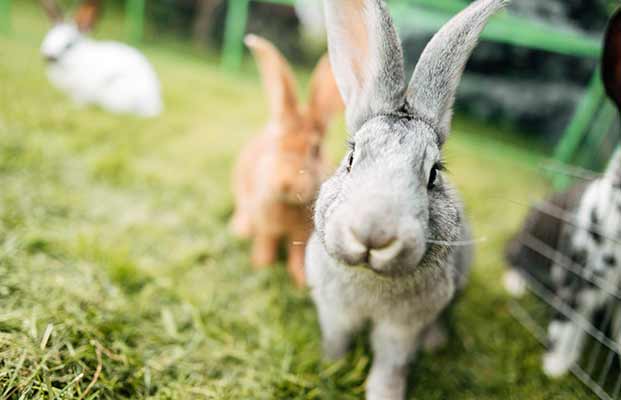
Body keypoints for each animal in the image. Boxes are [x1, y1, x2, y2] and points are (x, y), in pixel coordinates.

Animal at [230, 34, 342, 288]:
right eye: (277, 142)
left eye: (315, 150)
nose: (285, 183)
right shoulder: (266, 225)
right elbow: (265, 244)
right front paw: (261, 266)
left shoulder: (301, 235)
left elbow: (297, 255)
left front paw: (302, 281)